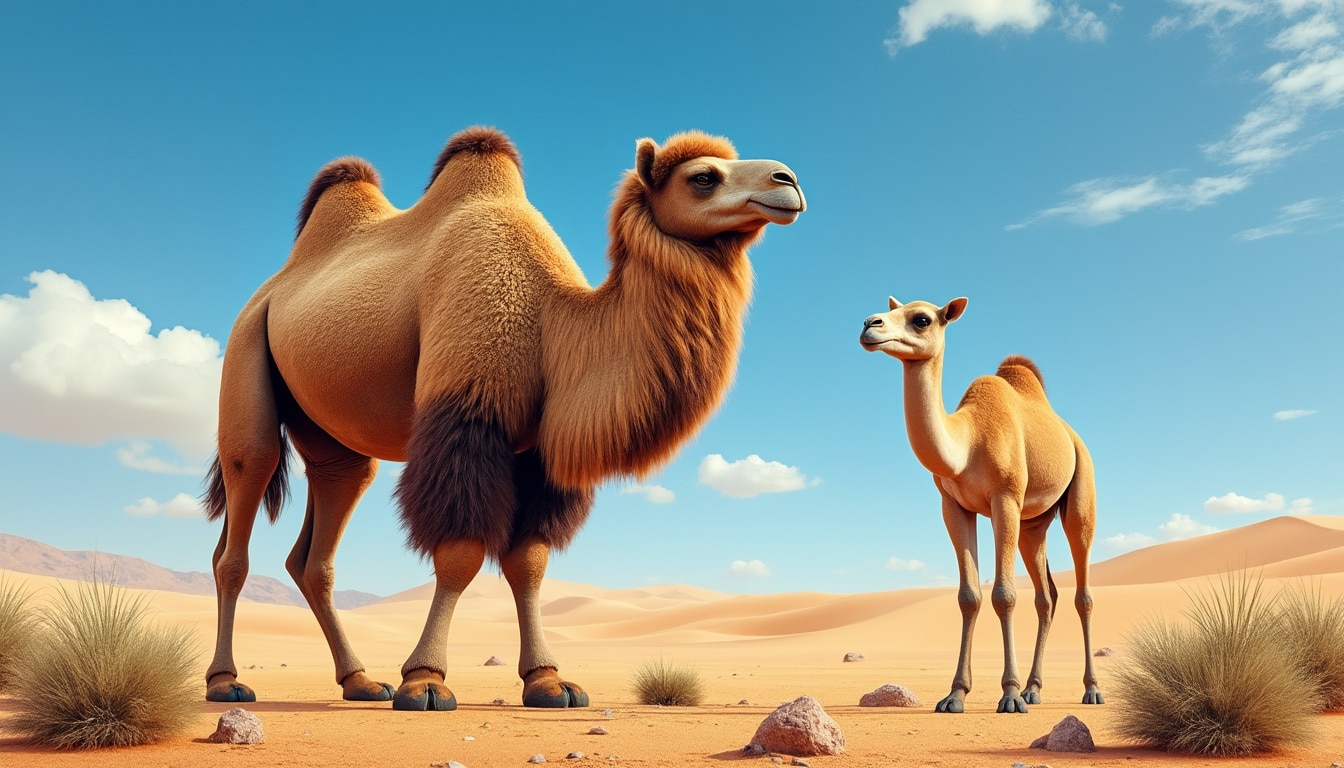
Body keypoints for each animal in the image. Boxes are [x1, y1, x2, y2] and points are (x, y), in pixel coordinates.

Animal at [202, 127, 804, 710]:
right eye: (702, 177)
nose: (789, 181)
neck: (552, 321)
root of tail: (271, 287)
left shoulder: (536, 451)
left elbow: (529, 560)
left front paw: (549, 682)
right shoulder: (468, 409)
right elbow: (461, 553)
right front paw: (425, 681)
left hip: (332, 438)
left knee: (321, 537)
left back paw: (361, 683)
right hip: (246, 355)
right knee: (239, 518)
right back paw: (226, 682)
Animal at [859, 296, 1102, 713]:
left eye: (921, 319)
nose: (869, 325)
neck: (967, 443)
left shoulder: (1004, 498)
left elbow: (1003, 594)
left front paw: (1009, 695)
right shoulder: (953, 505)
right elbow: (969, 596)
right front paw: (955, 695)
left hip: (1080, 492)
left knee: (1082, 593)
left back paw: (1090, 690)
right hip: (1033, 524)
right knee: (1046, 596)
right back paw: (1034, 689)